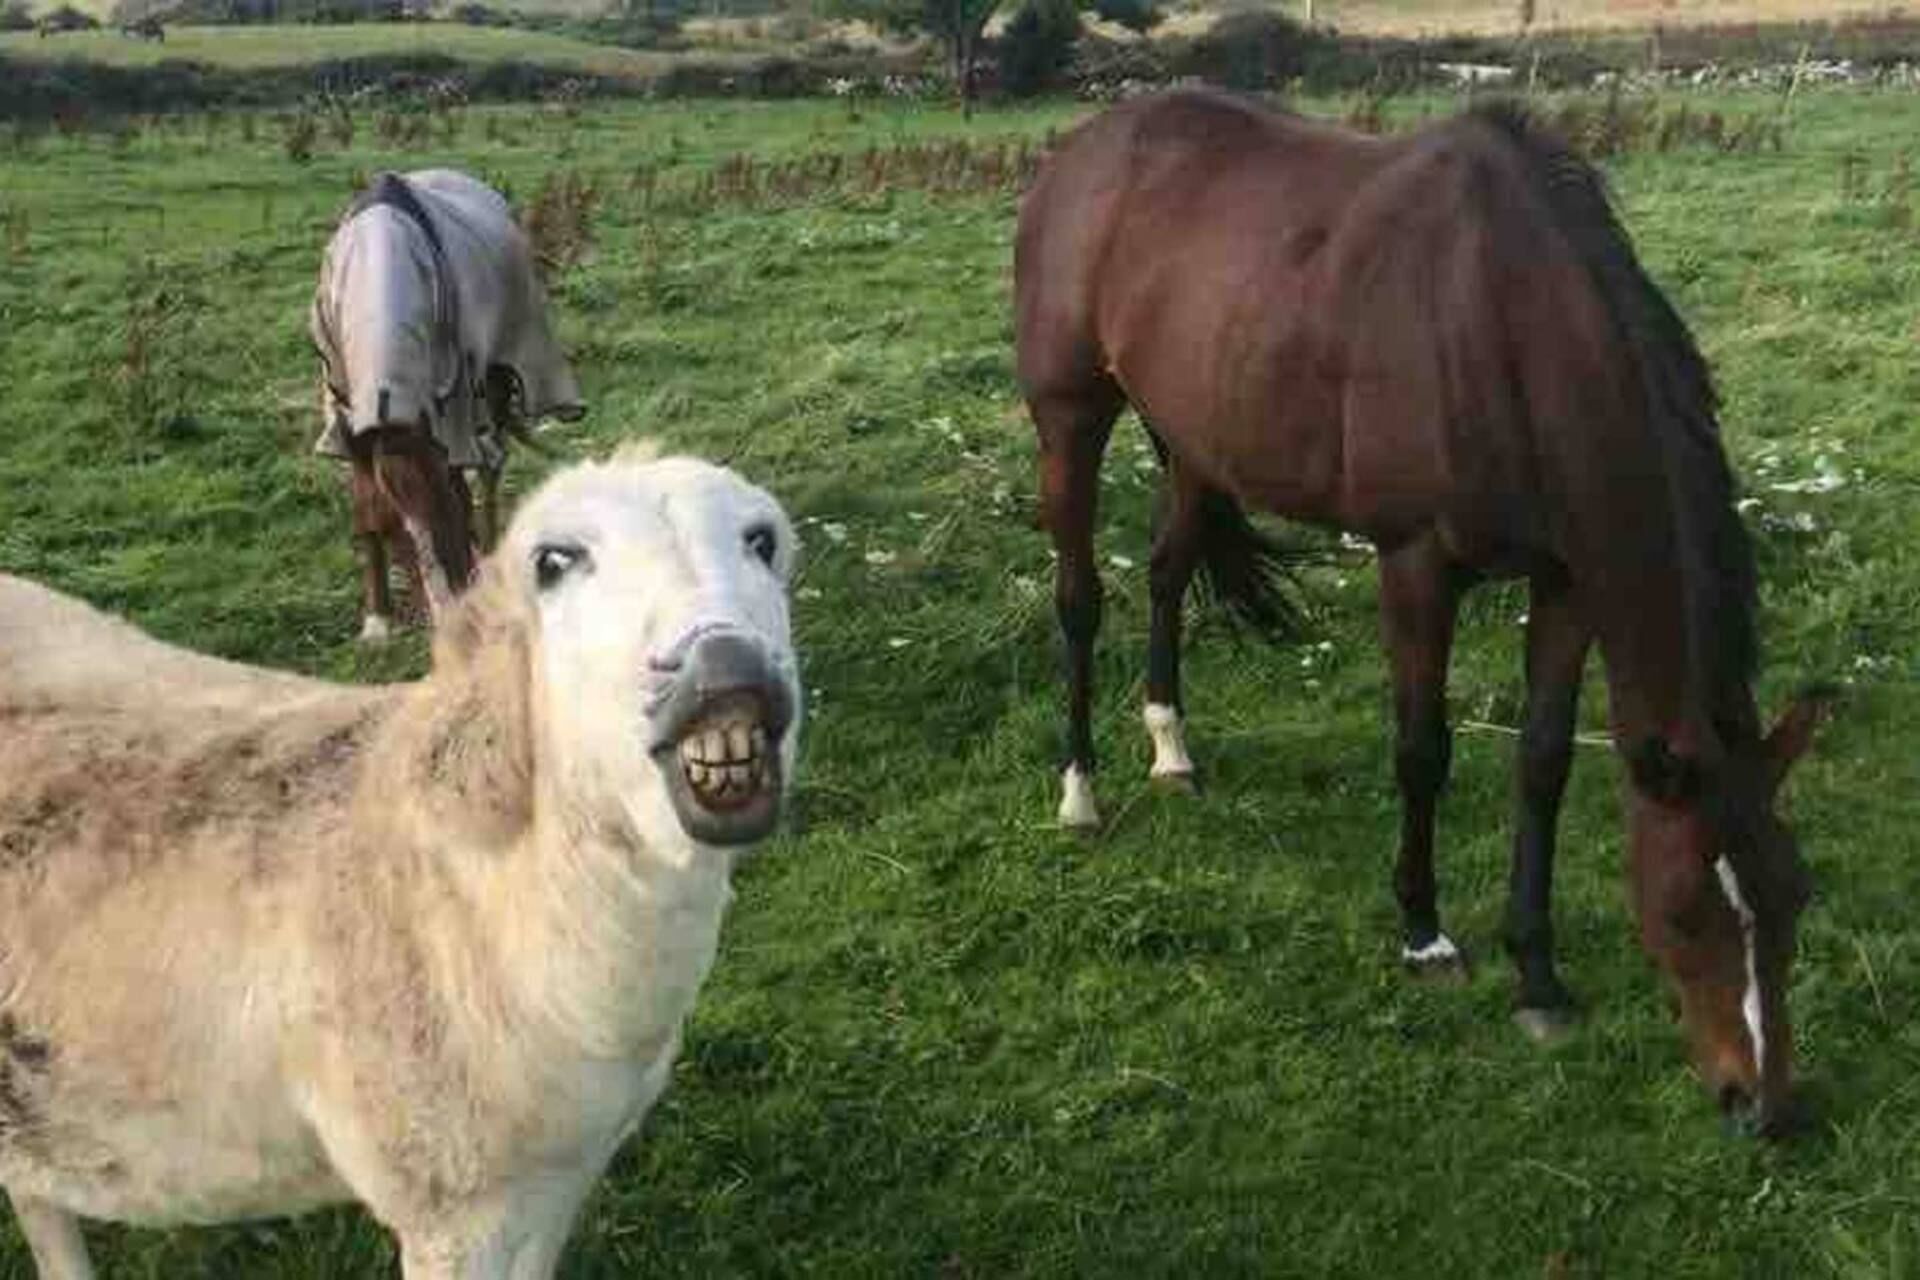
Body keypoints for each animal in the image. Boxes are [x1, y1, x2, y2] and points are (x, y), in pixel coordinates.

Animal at [311, 169, 585, 644]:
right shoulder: (353, 422)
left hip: (494, 382)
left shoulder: (449, 417)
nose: (448, 627)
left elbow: (464, 487)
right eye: (396, 534)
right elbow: (366, 510)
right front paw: (377, 620)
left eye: (445, 521)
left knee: (493, 464)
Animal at [1014, 88, 1828, 1134]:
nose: (1763, 1107)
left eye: (1796, 895)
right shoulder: (1415, 563)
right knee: (1078, 600)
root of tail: (1080, 151)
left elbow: (1544, 761)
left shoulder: (1566, 583)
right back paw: (1080, 794)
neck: (1502, 324)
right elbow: (1422, 750)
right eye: (1687, 909)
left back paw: (1171, 749)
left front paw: (1538, 976)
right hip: (1069, 414)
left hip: (1195, 428)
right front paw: (1425, 934)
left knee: (1164, 574)